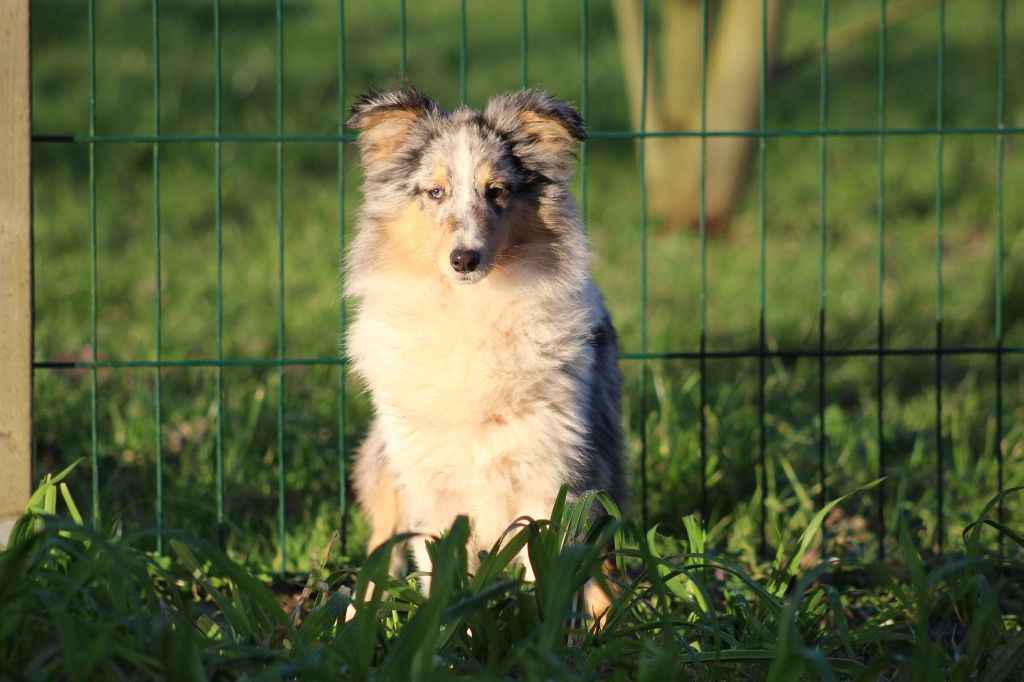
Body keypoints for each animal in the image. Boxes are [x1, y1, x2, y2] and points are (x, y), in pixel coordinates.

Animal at [344, 84, 622, 614]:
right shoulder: (430, 488)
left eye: (497, 191)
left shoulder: (552, 480)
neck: (470, 308)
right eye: (434, 192)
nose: (464, 259)